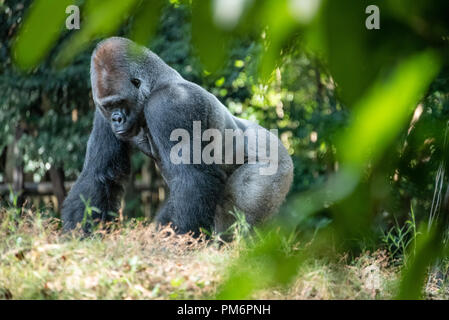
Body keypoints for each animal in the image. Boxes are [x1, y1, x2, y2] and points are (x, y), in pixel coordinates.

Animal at [62, 37, 294, 235]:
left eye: (119, 102)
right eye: (109, 106)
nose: (116, 119)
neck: (154, 85)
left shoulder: (172, 104)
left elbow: (192, 178)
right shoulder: (102, 115)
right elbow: (99, 173)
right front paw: (77, 234)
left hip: (275, 167)